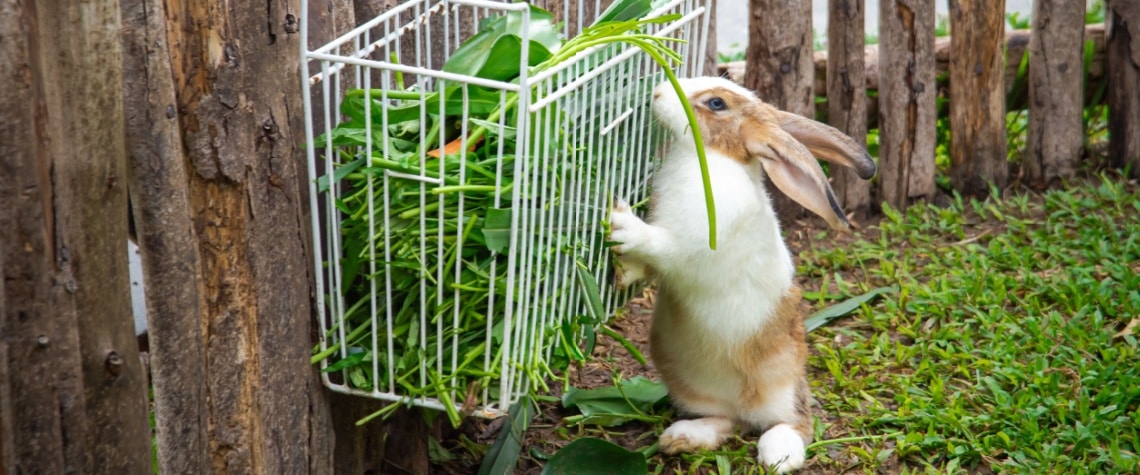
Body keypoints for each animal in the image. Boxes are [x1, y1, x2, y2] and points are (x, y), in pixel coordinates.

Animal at [608, 76, 876, 473]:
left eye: (716, 103)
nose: (657, 92)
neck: (711, 158)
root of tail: (745, 407)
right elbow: (649, 264)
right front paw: (626, 273)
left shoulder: (688, 242)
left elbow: (659, 245)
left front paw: (622, 225)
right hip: (688, 383)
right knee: (725, 421)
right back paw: (681, 437)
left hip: (782, 386)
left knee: (795, 423)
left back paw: (779, 455)